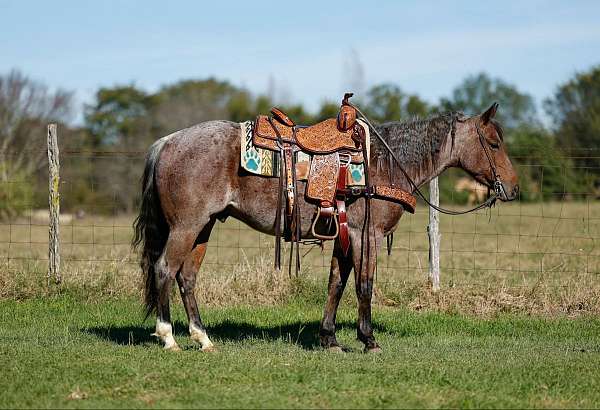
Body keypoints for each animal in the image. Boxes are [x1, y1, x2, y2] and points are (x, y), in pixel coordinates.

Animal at [134, 101, 516, 352]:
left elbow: (336, 283)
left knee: (187, 277)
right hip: (187, 226)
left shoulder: (343, 234)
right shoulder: (366, 235)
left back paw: (203, 338)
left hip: (204, 227)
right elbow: (364, 285)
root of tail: (166, 142)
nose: (512, 188)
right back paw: (168, 337)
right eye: (493, 143)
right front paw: (368, 339)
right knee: (164, 269)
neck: (384, 164)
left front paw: (329, 338)